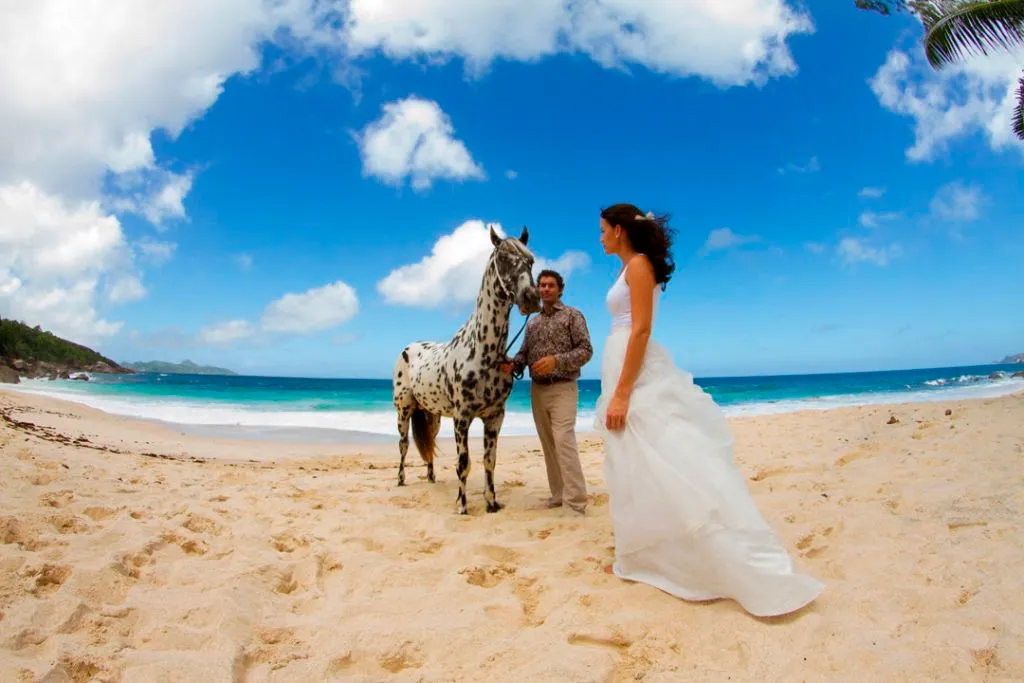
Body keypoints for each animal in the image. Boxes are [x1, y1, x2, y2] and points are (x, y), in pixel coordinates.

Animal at [392, 225, 541, 515]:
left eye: (531, 261)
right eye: (503, 258)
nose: (531, 298)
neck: (483, 350)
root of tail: (409, 348)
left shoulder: (494, 417)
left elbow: (489, 461)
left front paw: (491, 502)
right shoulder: (462, 418)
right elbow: (464, 463)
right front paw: (462, 505)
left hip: (433, 415)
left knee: (429, 445)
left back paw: (431, 478)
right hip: (404, 409)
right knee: (403, 445)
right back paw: (401, 480)